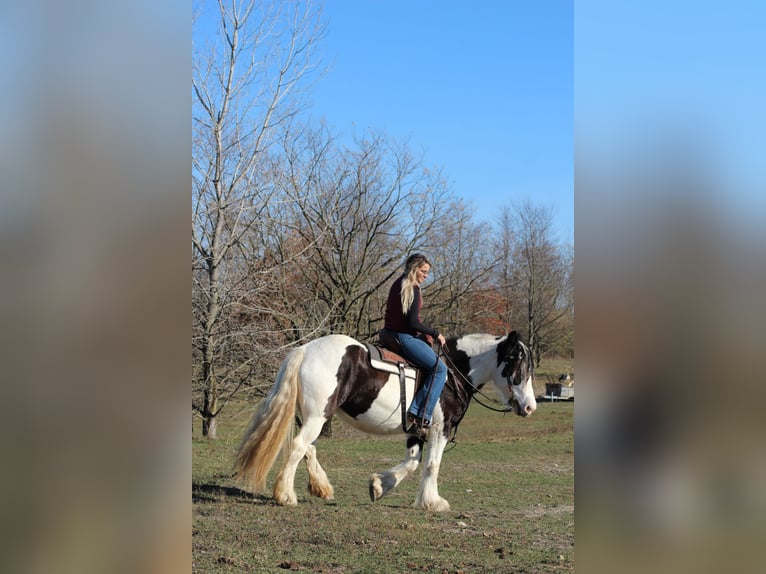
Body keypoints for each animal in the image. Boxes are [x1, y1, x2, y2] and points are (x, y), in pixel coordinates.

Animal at [236, 330, 540, 510]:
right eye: (517, 361)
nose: (530, 407)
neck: (453, 373)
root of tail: (306, 349)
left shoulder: (417, 431)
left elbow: (412, 463)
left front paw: (379, 486)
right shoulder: (440, 430)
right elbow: (432, 464)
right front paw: (433, 502)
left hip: (313, 416)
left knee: (308, 448)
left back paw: (321, 487)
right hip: (316, 417)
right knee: (299, 446)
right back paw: (286, 495)